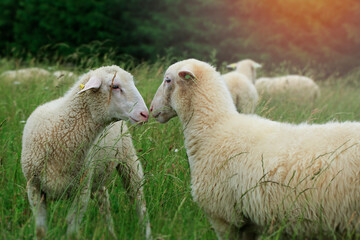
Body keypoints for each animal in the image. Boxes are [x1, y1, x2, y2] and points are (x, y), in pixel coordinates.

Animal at [21, 64, 150, 239]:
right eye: (115, 86)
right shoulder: (33, 187)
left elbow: (72, 232)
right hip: (99, 175)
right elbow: (40, 230)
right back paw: (111, 233)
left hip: (129, 161)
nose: (145, 114)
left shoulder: (82, 191)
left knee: (139, 201)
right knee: (104, 201)